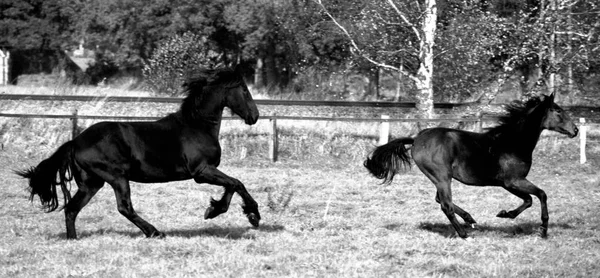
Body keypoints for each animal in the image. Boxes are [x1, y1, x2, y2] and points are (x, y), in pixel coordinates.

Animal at [15, 67, 260, 239]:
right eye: (244, 90)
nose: (255, 116)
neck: (197, 126)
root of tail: (75, 141)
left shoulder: (206, 171)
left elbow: (233, 185)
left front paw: (218, 210)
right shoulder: (201, 171)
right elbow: (236, 183)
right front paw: (248, 215)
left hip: (91, 183)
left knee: (71, 209)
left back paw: (72, 239)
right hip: (116, 178)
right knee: (124, 207)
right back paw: (155, 232)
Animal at [364, 94, 580, 239]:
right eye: (558, 111)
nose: (576, 130)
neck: (511, 142)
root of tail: (416, 139)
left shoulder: (510, 183)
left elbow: (529, 199)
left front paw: (505, 214)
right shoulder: (512, 181)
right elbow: (540, 195)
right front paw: (542, 229)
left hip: (440, 178)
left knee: (440, 200)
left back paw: (470, 220)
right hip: (442, 177)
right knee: (445, 204)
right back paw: (464, 234)